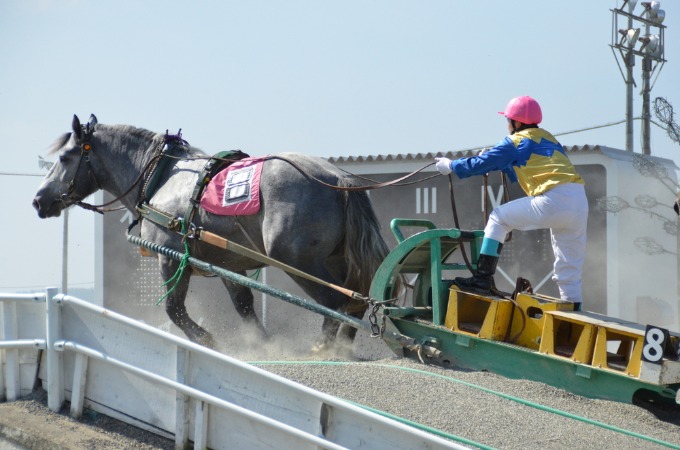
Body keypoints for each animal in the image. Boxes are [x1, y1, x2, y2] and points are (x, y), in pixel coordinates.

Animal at [34, 114, 390, 350]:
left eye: (65, 157)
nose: (38, 200)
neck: (163, 176)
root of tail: (337, 177)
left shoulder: (171, 259)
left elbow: (174, 308)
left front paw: (205, 338)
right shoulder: (228, 265)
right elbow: (244, 305)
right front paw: (260, 344)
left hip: (300, 262)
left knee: (335, 304)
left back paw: (325, 347)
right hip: (334, 261)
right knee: (356, 301)